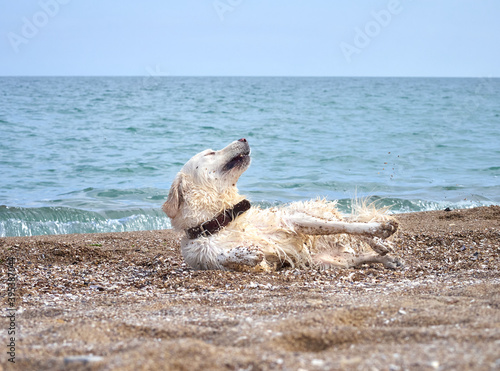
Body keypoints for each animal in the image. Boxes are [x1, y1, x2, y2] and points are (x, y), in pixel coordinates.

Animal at [162, 140, 400, 274]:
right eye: (210, 153)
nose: (243, 138)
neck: (222, 221)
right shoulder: (202, 259)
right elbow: (221, 256)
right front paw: (244, 253)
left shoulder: (291, 221)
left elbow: (342, 226)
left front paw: (379, 230)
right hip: (333, 261)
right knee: (359, 255)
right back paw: (387, 258)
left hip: (310, 213)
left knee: (346, 222)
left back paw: (381, 240)